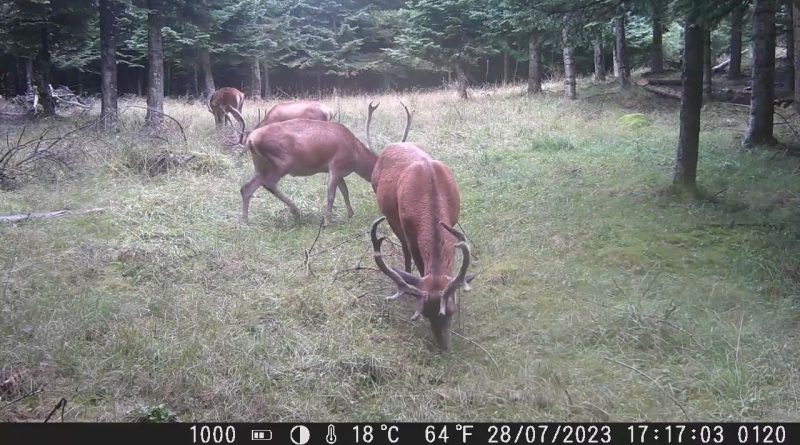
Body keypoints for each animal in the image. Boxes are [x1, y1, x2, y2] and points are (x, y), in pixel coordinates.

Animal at [226, 102, 411, 225]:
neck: (355, 155)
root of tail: (250, 139)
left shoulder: (339, 171)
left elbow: (345, 191)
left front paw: (351, 214)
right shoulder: (336, 165)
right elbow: (331, 194)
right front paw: (327, 221)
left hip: (260, 165)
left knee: (246, 188)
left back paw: (245, 221)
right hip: (283, 162)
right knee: (269, 183)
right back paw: (296, 211)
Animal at [369, 119, 474, 350]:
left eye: (451, 311)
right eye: (425, 314)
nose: (443, 348)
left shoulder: (454, 220)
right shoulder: (410, 231)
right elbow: (418, 262)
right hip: (392, 217)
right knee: (404, 249)